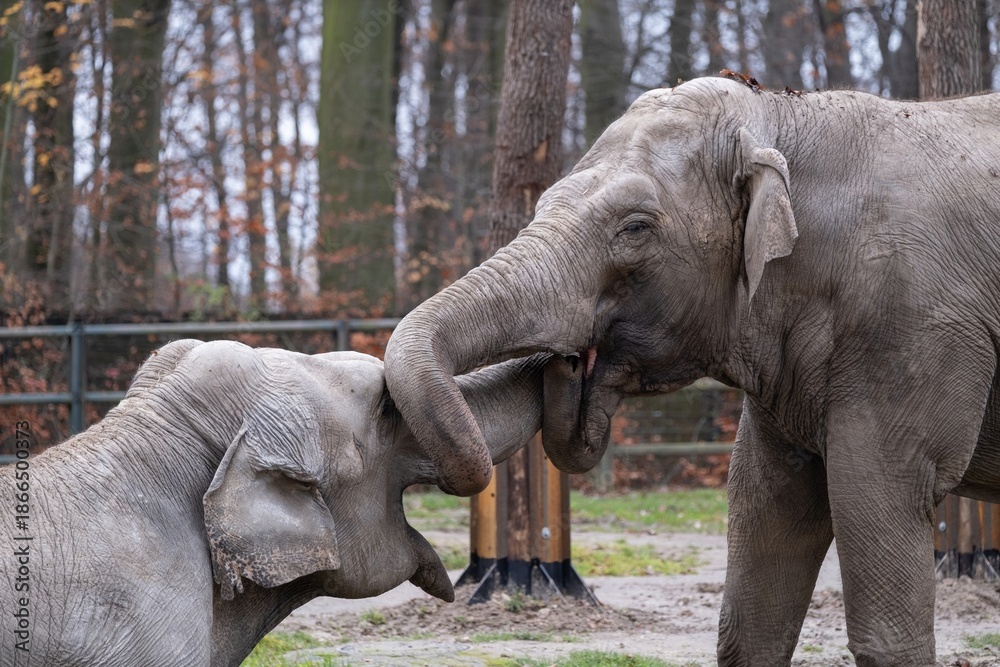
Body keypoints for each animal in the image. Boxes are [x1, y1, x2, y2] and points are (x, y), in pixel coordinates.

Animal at [383, 75, 1000, 666]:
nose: (570, 359)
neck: (779, 116)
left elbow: (882, 500)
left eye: (634, 228)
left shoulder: (911, 325)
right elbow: (764, 520)